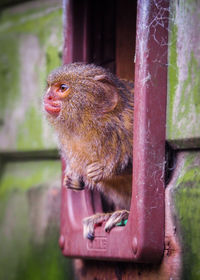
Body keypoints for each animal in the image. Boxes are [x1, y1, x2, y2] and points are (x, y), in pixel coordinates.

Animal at [43, 62, 134, 240]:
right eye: (49, 87)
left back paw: (123, 214)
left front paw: (103, 169)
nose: (47, 97)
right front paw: (74, 180)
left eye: (62, 88)